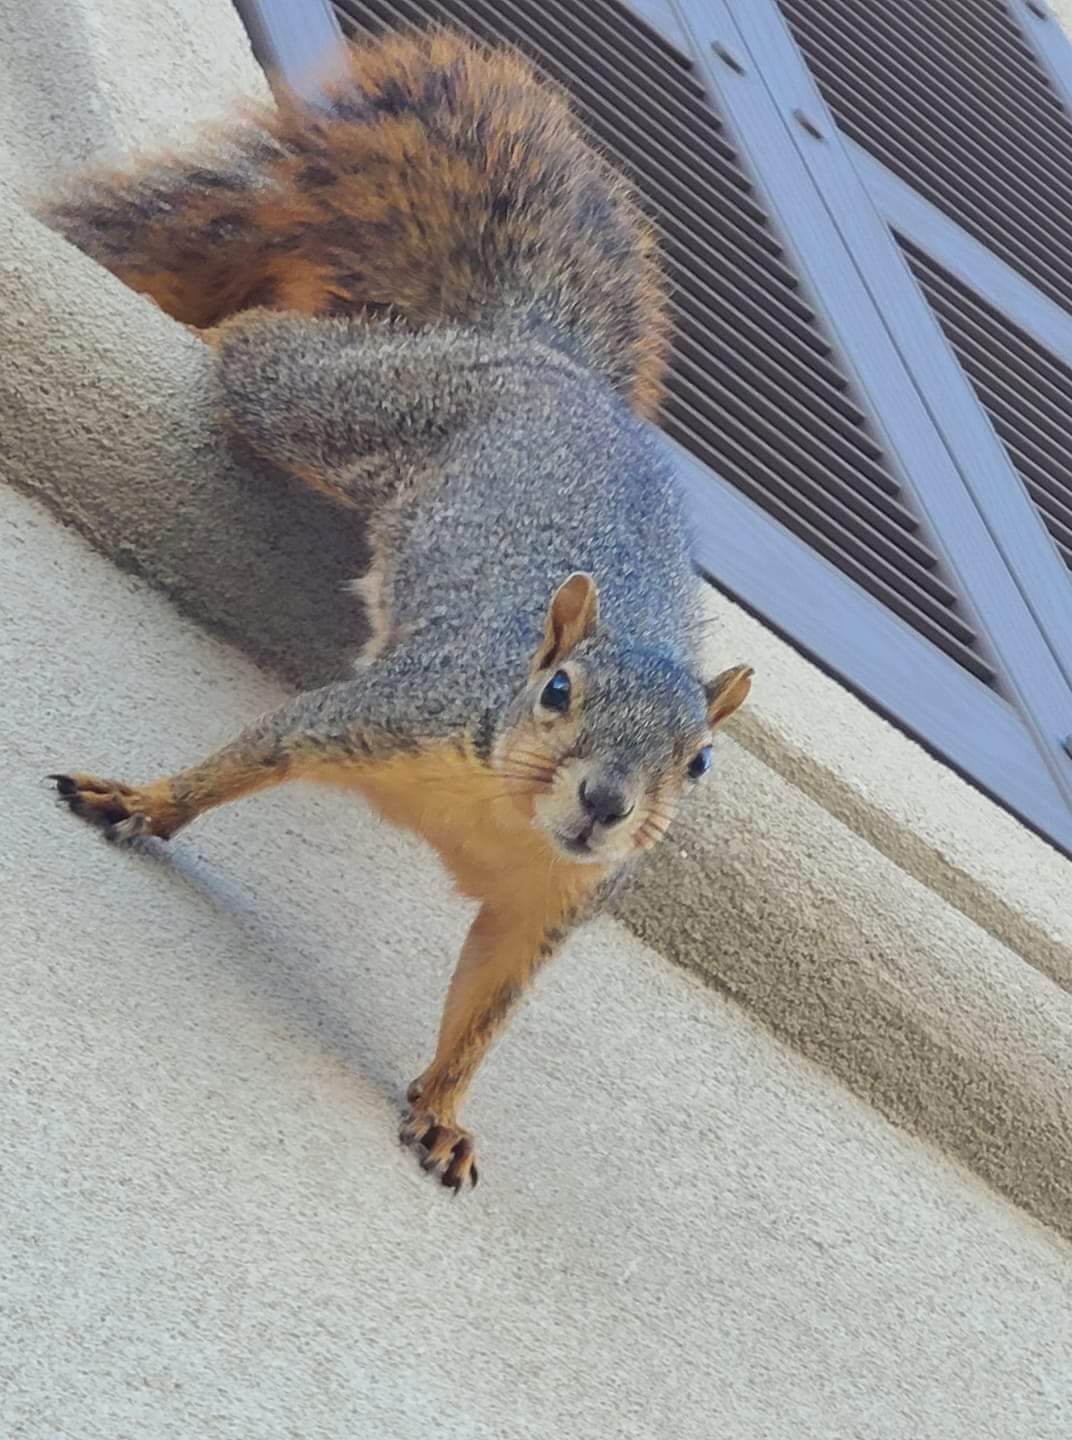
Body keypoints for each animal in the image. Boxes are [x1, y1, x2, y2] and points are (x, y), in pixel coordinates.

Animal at [43, 28, 755, 1192]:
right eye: (557, 689)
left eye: (697, 763)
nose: (606, 803)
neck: (500, 810)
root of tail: (542, 358)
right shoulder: (388, 713)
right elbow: (253, 753)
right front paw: (143, 802)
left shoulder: (550, 905)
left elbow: (484, 1007)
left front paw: (443, 1110)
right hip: (346, 404)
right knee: (268, 352)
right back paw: (235, 330)